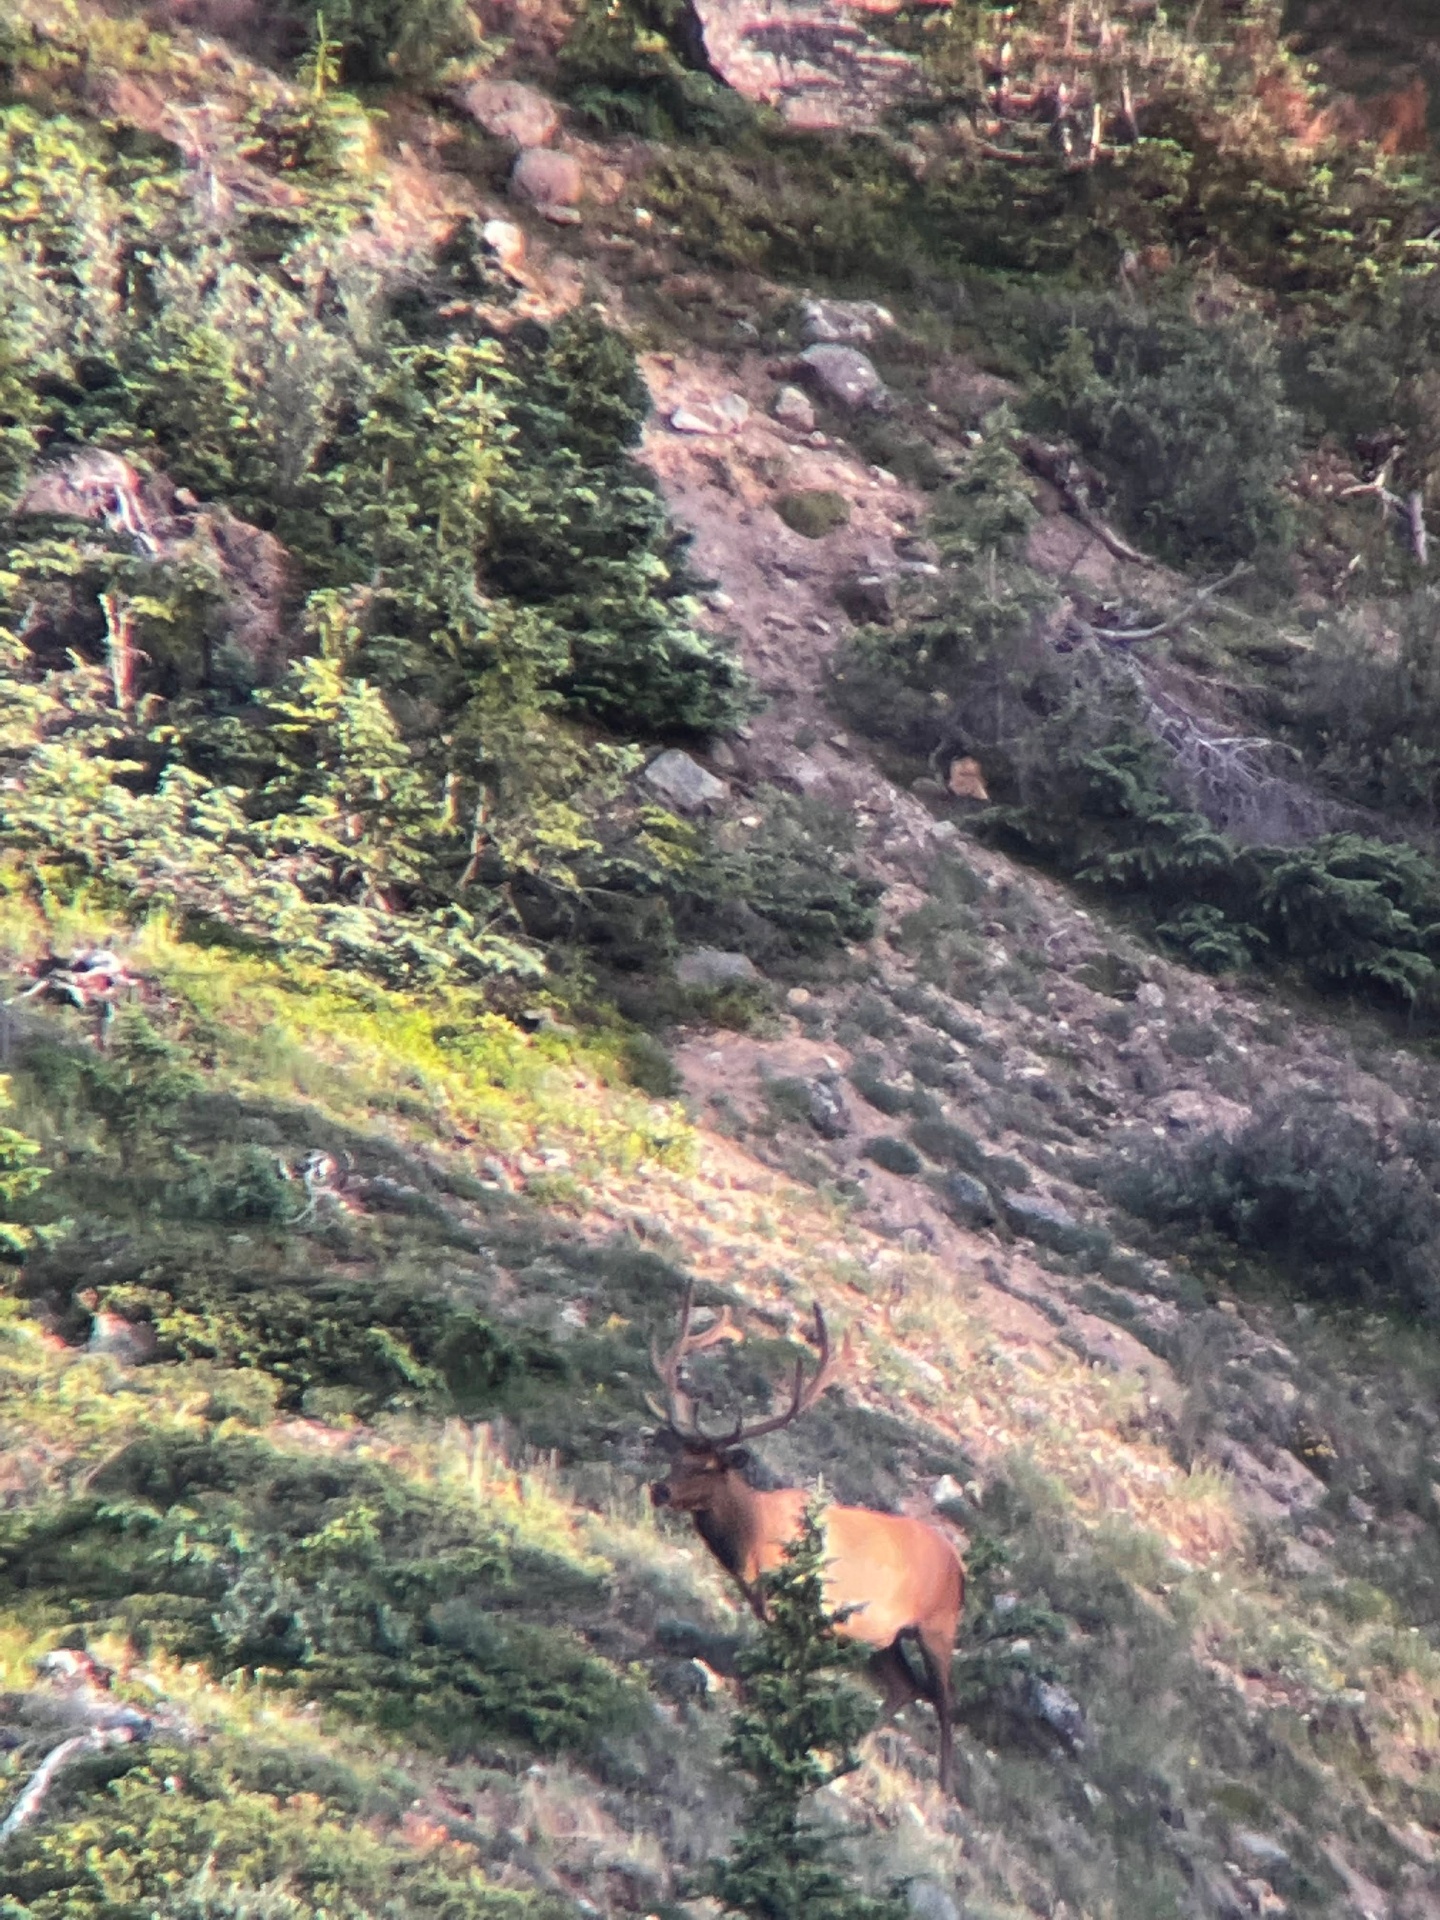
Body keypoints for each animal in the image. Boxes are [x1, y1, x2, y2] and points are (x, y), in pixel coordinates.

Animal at [647, 1282, 965, 1793]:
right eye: (677, 1454)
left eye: (711, 1466)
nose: (660, 1489)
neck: (753, 1545)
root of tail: (961, 1564)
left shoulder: (799, 1604)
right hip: (880, 1636)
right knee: (905, 1687)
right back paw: (852, 1749)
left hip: (938, 1624)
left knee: (944, 1698)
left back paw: (942, 1785)